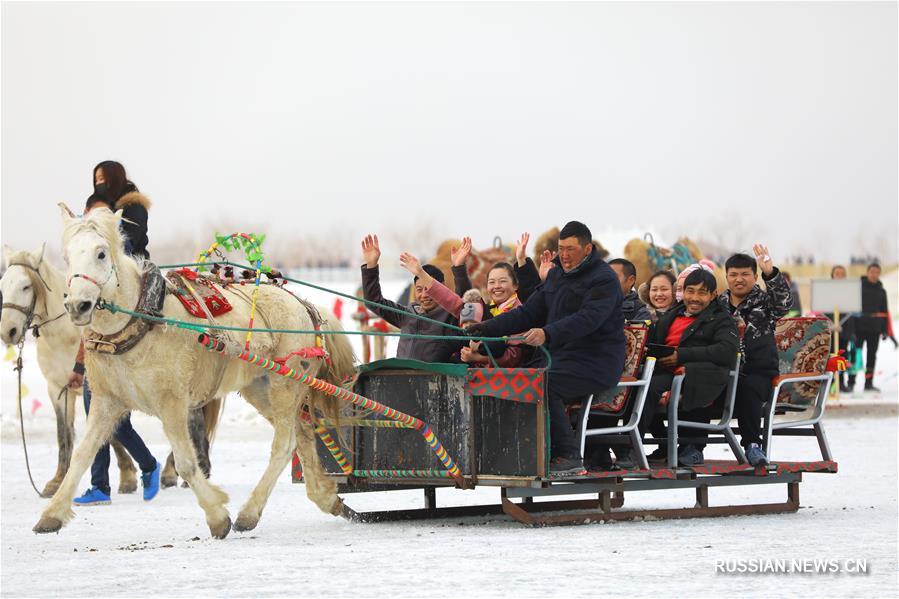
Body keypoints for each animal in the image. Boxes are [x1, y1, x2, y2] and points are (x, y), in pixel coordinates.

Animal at [1, 244, 139, 496]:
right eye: (3, 285)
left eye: (26, 286)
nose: (8, 331)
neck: (65, 337)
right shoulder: (57, 389)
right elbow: (63, 434)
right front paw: (57, 481)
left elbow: (111, 434)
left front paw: (127, 476)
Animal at [35, 207, 358, 540]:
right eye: (67, 256)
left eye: (100, 253)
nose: (77, 305)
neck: (143, 323)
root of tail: (305, 305)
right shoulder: (106, 402)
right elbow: (82, 456)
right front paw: (52, 514)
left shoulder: (173, 403)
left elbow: (187, 464)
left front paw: (217, 517)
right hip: (260, 387)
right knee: (303, 433)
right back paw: (325, 497)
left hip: (286, 384)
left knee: (284, 445)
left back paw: (249, 513)